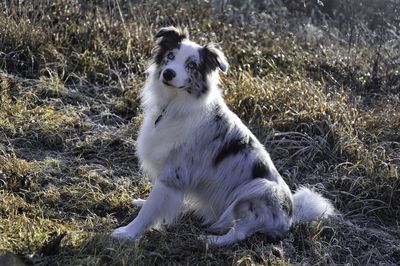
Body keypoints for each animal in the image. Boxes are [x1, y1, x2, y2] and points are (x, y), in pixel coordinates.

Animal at [110, 27, 334, 245]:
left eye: (192, 65)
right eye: (170, 56)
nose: (168, 73)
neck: (175, 104)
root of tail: (290, 217)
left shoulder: (173, 173)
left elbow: (150, 210)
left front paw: (127, 233)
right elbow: (155, 202)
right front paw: (142, 205)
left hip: (258, 189)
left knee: (239, 233)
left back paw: (210, 240)